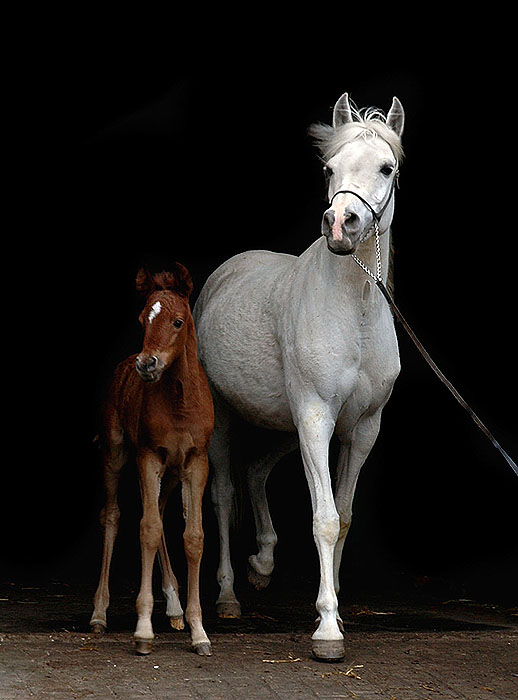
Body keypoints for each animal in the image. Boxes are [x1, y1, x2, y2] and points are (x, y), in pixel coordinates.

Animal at [90, 264, 214, 656]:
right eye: (143, 319)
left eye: (177, 321)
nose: (147, 365)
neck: (180, 400)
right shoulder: (148, 458)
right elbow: (146, 529)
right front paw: (143, 630)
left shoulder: (196, 463)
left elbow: (193, 536)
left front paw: (198, 631)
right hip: (115, 454)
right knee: (113, 516)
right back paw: (99, 614)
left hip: (172, 473)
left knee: (158, 511)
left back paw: (174, 607)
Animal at [194, 93, 406, 660]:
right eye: (330, 168)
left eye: (387, 167)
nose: (342, 225)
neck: (354, 309)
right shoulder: (315, 415)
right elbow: (325, 519)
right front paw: (328, 629)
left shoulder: (360, 428)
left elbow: (344, 517)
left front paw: (330, 610)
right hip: (229, 418)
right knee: (224, 493)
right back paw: (228, 596)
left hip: (287, 427)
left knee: (256, 472)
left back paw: (263, 565)